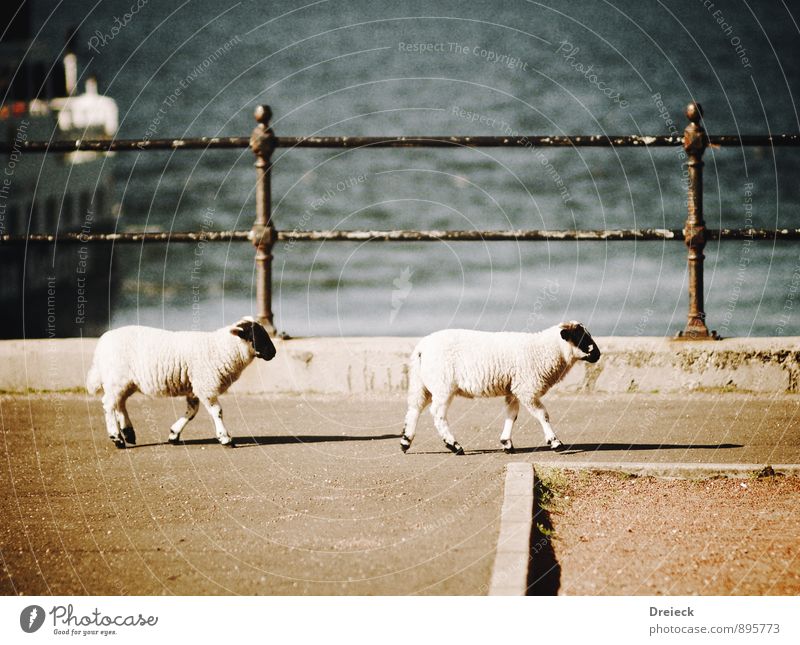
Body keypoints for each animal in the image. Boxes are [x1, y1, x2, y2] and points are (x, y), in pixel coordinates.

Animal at [85, 316, 276, 448]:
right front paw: (225, 438)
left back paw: (128, 433)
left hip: (125, 381)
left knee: (120, 403)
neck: (222, 348)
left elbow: (192, 412)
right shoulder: (206, 386)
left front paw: (173, 434)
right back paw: (117, 438)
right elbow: (217, 412)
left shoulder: (196, 387)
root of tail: (102, 342)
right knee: (109, 404)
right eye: (256, 335)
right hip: (117, 378)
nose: (273, 353)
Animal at [400, 320, 600, 452]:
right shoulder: (526, 389)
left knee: (414, 409)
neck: (546, 349)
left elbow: (512, 415)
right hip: (443, 385)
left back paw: (405, 441)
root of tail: (421, 348)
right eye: (582, 337)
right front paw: (555, 442)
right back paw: (453, 445)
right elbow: (543, 414)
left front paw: (507, 443)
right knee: (438, 414)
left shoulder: (514, 389)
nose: (598, 355)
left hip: (423, 383)